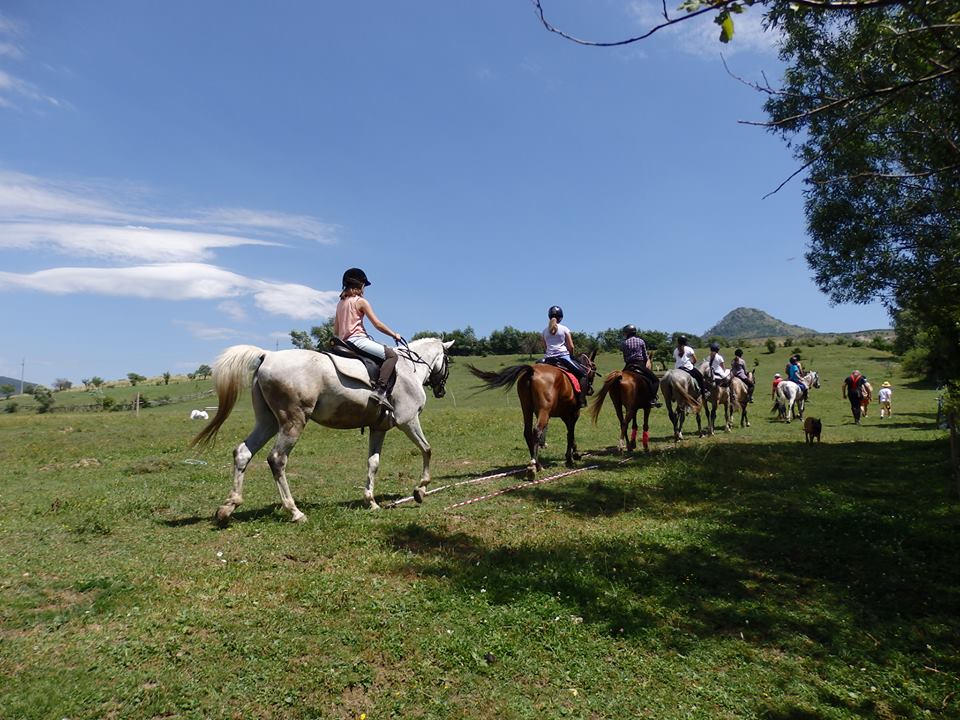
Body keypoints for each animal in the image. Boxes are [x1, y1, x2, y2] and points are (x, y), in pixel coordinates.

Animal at [193, 338, 456, 524]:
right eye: (448, 361)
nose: (441, 390)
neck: (410, 369)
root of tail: (268, 355)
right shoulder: (408, 421)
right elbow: (427, 450)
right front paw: (421, 489)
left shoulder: (378, 428)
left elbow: (373, 463)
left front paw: (371, 502)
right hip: (293, 422)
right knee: (277, 459)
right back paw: (295, 512)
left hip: (268, 422)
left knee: (243, 453)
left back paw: (228, 507)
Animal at [468, 350, 596, 478]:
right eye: (593, 367)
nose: (591, 390)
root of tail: (532, 371)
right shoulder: (574, 413)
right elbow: (570, 433)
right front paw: (571, 458)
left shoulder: (565, 415)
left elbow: (570, 433)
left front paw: (574, 454)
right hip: (544, 411)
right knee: (537, 430)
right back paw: (533, 467)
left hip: (526, 409)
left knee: (528, 432)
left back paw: (537, 464)